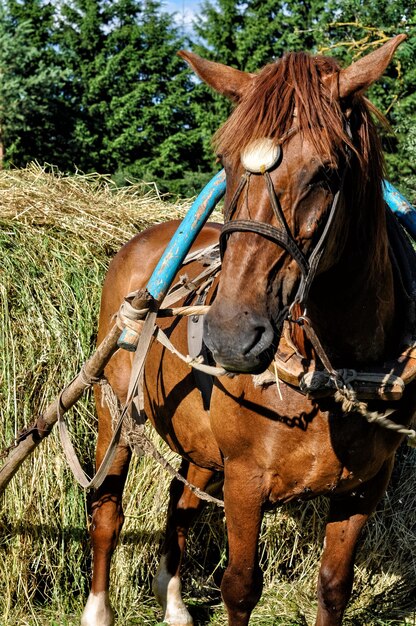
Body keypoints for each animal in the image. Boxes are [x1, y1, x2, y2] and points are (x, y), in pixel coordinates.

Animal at [81, 34, 416, 624]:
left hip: (199, 443)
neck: (334, 372)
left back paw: (173, 601)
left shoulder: (364, 488)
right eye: (226, 165)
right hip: (114, 411)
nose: (231, 340)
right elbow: (239, 587)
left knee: (183, 502)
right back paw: (98, 609)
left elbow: (334, 586)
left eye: (326, 172)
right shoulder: (244, 480)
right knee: (106, 510)